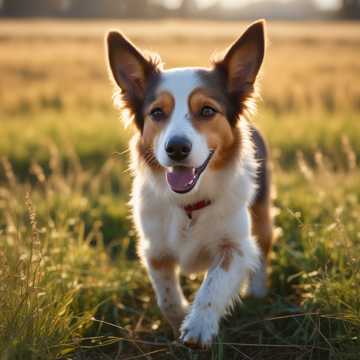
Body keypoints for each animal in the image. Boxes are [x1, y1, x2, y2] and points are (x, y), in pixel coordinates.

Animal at [105, 20, 272, 348]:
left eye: (207, 110)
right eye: (157, 112)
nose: (177, 148)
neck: (190, 204)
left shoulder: (235, 246)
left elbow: (214, 285)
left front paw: (198, 326)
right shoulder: (155, 250)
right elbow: (166, 297)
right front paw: (180, 317)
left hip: (262, 214)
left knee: (263, 248)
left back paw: (258, 292)